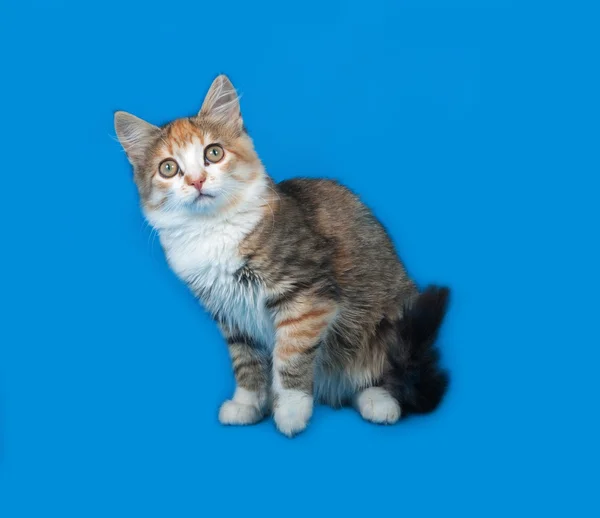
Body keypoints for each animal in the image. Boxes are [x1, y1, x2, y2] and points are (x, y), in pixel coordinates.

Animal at [113, 74, 450, 438]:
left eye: (213, 153)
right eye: (169, 168)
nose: (197, 181)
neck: (213, 229)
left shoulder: (306, 297)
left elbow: (291, 355)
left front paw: (290, 410)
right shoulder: (231, 314)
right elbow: (246, 363)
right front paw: (248, 404)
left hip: (391, 325)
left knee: (386, 376)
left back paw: (380, 401)